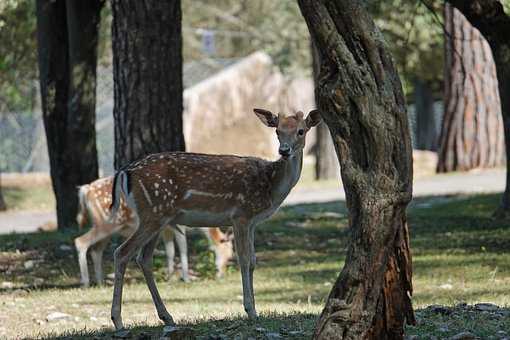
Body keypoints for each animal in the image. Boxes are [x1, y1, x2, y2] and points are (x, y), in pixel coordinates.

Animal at [73, 175, 233, 286]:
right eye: (227, 254)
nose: (222, 274)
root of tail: (85, 190)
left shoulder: (166, 229)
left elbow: (170, 251)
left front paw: (170, 277)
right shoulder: (179, 226)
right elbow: (183, 249)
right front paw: (186, 278)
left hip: (106, 228)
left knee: (96, 250)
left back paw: (100, 282)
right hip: (106, 223)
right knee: (80, 241)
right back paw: (86, 282)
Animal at [109, 108, 320, 332]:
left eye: (301, 131)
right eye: (278, 131)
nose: (284, 150)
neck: (271, 187)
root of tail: (124, 171)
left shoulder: (252, 222)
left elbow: (253, 261)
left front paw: (255, 309)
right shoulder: (240, 215)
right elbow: (244, 259)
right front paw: (250, 310)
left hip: (158, 217)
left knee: (144, 258)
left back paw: (167, 317)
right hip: (153, 213)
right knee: (122, 252)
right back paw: (118, 320)